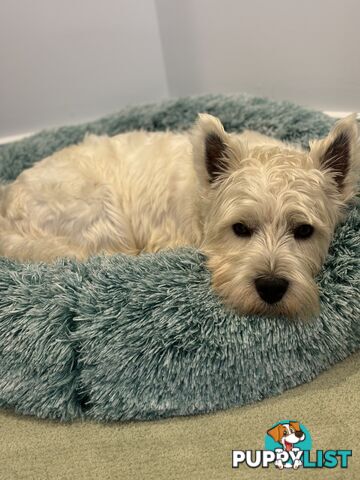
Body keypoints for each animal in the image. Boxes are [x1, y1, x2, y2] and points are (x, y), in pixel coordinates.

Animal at [0, 113, 358, 318]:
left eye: (304, 230)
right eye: (240, 228)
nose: (271, 288)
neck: (201, 200)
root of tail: (9, 205)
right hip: (100, 212)